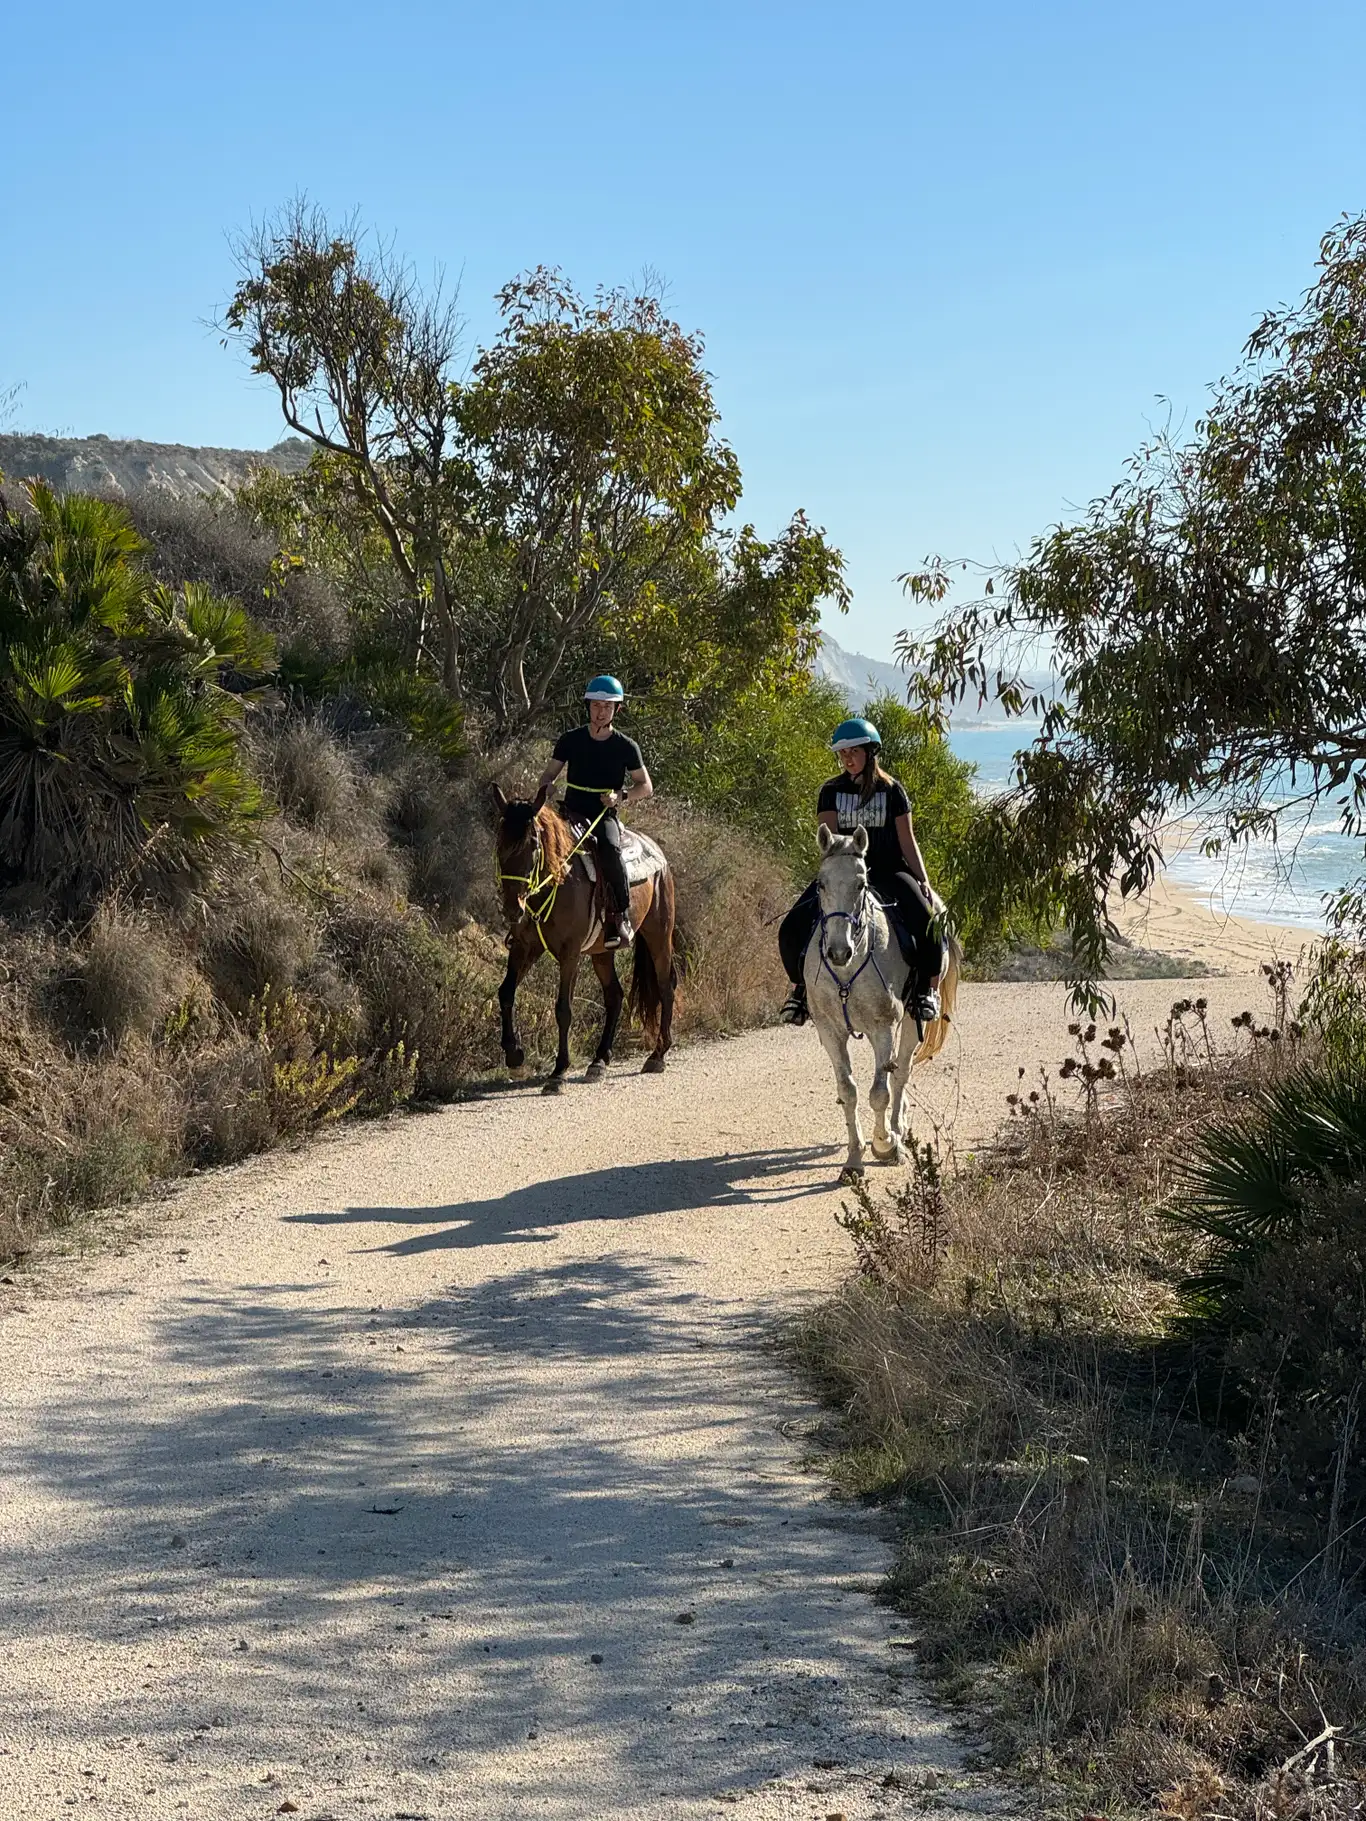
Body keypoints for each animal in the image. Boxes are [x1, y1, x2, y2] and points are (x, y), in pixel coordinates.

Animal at [491, 787, 679, 1094]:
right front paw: (514, 1055)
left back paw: (657, 1055)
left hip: (659, 935)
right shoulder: (524, 947)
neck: (558, 880)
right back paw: (599, 1061)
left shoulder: (570, 953)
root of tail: (656, 851)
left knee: (666, 986)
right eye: (500, 841)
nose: (512, 908)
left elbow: (563, 1009)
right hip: (602, 951)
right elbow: (506, 992)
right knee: (615, 995)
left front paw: (558, 1072)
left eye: (534, 845)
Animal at [805, 823, 961, 1178]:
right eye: (821, 884)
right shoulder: (830, 1032)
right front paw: (853, 1160)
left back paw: (897, 1129)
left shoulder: (883, 1028)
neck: (848, 969)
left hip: (911, 1019)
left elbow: (879, 1093)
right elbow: (848, 1092)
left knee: (900, 1072)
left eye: (861, 884)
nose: (838, 952)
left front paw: (884, 1144)